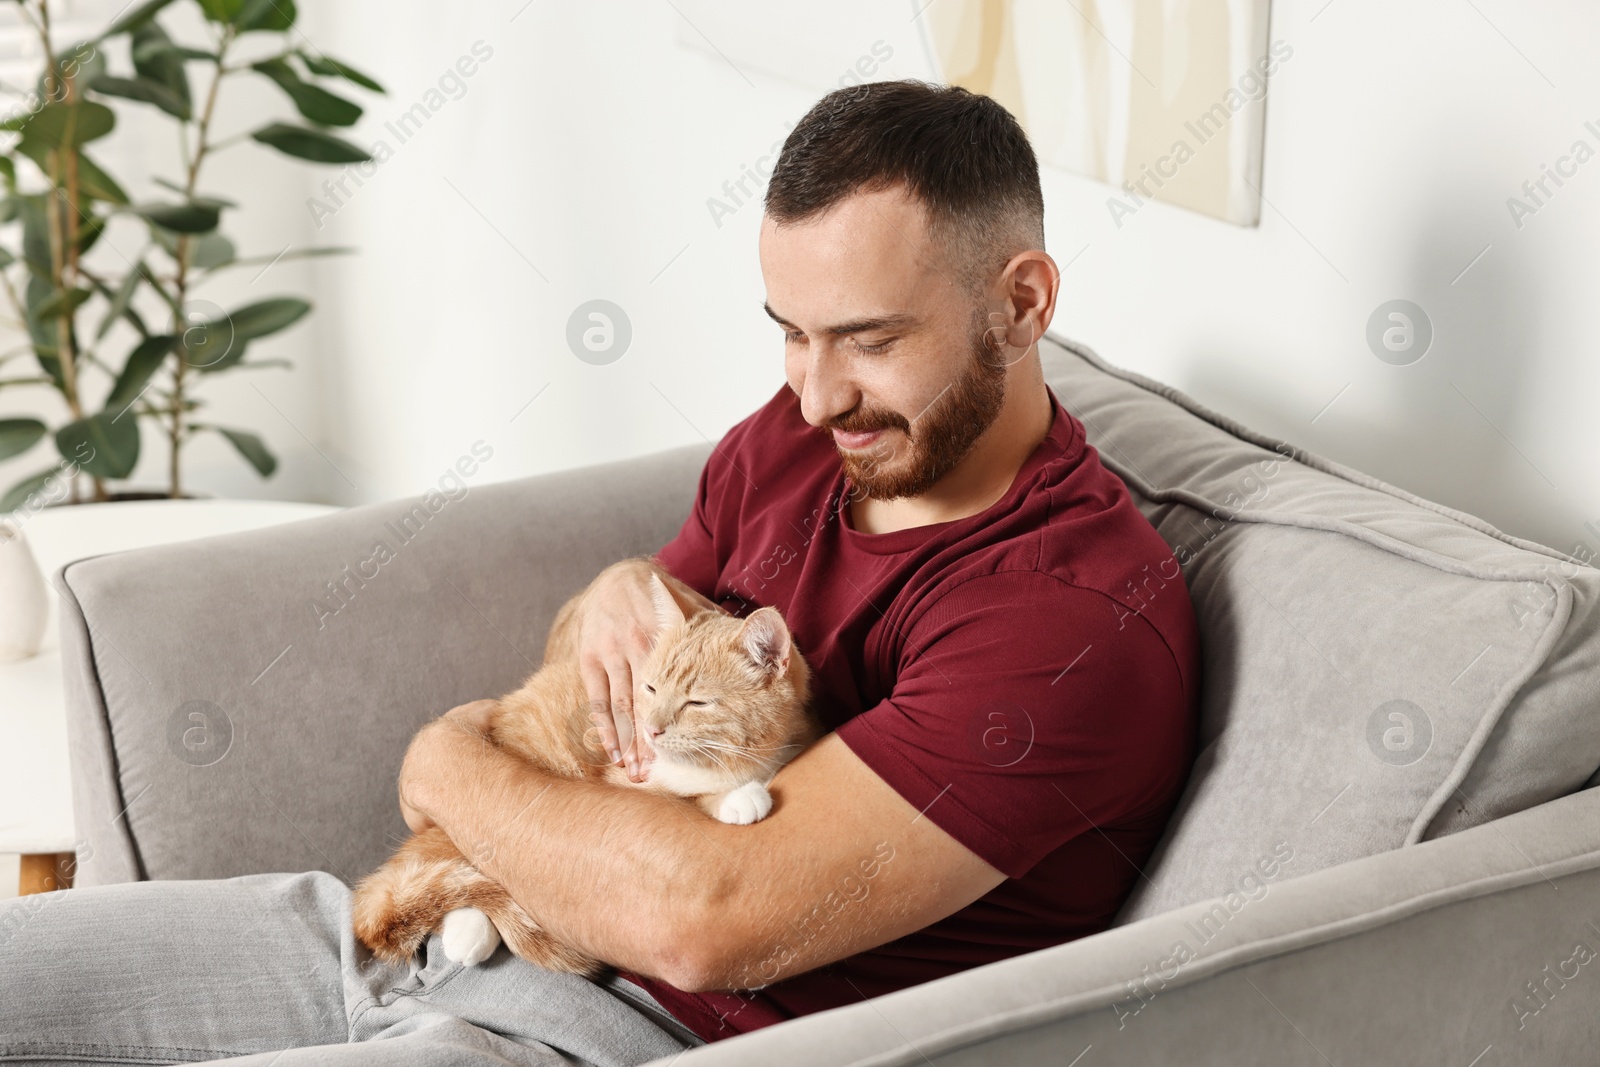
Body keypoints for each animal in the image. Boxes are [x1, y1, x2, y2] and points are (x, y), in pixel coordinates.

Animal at [355, 566, 819, 979]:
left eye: (697, 703)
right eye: (649, 688)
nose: (651, 729)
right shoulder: (625, 777)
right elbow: (682, 794)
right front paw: (737, 796)